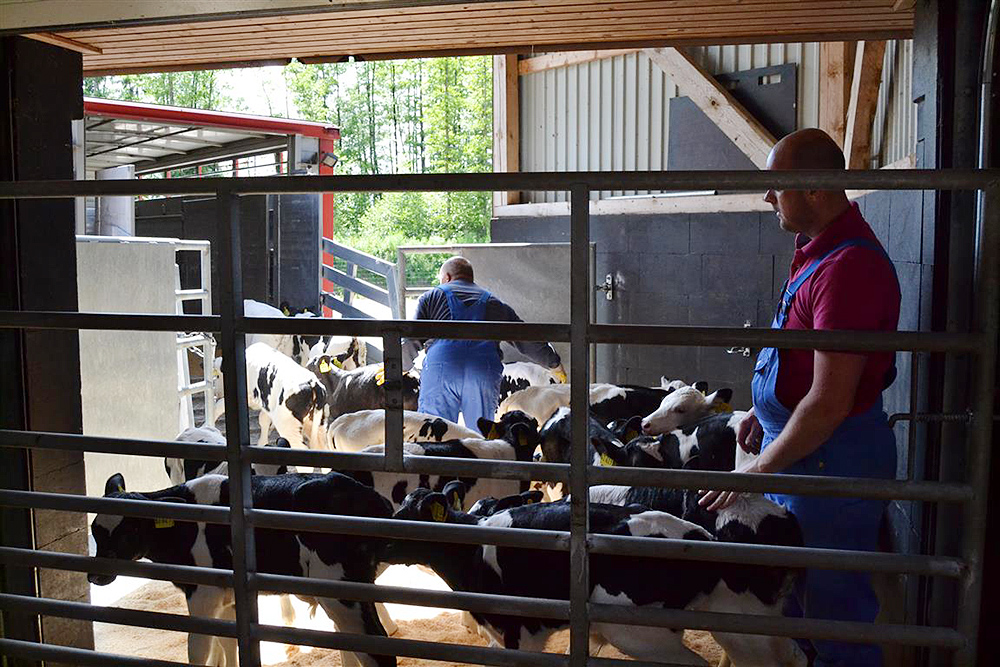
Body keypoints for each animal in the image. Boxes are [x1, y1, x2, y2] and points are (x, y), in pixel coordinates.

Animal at [89, 472, 394, 664]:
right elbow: (226, 643)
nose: (95, 575)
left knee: (377, 649)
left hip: (341, 591)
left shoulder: (203, 593)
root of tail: (367, 496)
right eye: (95, 530)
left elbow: (198, 649)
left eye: (128, 533)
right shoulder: (227, 599)